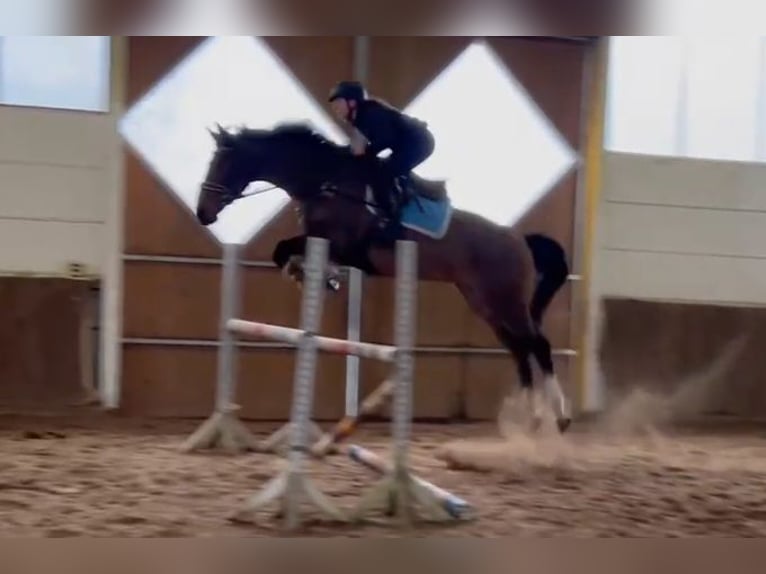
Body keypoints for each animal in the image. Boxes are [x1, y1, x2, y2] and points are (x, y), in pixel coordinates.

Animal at [195, 122, 573, 432]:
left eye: (224, 164)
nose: (203, 214)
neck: (326, 182)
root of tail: (520, 240)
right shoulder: (326, 242)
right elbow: (286, 251)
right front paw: (314, 275)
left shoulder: (344, 245)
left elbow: (286, 248)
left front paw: (319, 275)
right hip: (484, 303)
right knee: (519, 349)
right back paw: (530, 417)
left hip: (507, 300)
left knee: (538, 344)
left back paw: (557, 416)